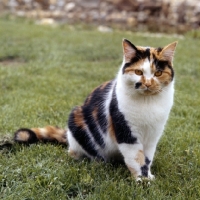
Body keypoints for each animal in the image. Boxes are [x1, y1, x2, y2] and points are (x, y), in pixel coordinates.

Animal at [14, 38, 177, 180]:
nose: (148, 84)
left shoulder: (153, 135)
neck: (147, 102)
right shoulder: (125, 132)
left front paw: (148, 177)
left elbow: (147, 158)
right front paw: (140, 180)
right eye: (138, 72)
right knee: (75, 152)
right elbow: (136, 158)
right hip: (76, 119)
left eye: (158, 73)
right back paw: (98, 161)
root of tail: (68, 135)